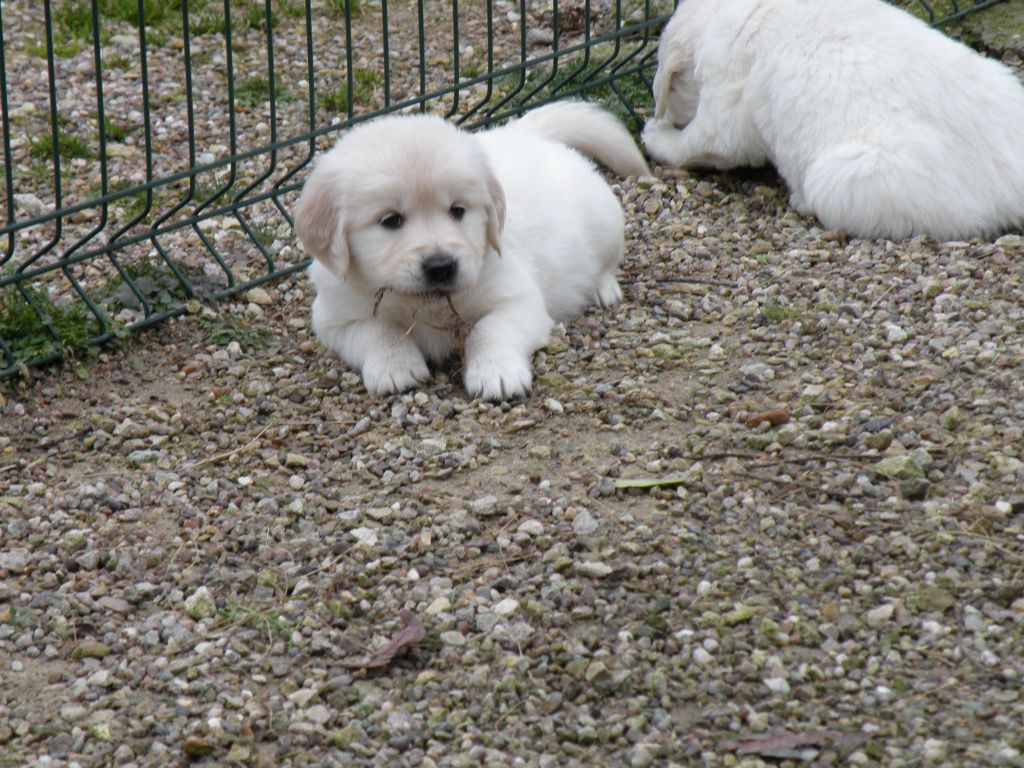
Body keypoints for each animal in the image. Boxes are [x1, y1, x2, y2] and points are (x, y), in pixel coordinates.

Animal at [294, 101, 647, 399]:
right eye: (391, 220)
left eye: (458, 210)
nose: (440, 266)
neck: (425, 304)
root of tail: (523, 133)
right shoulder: (335, 318)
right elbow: (379, 330)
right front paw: (395, 368)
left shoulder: (518, 299)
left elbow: (489, 330)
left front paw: (497, 373)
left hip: (605, 217)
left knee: (608, 259)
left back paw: (603, 288)